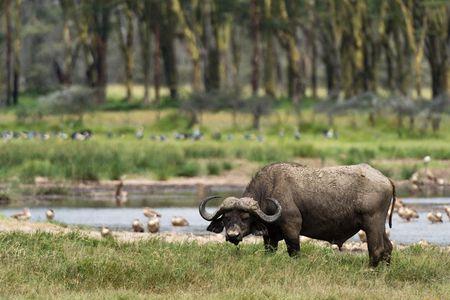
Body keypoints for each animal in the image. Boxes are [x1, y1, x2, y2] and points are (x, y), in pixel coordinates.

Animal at [199, 163, 396, 266]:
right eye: (226, 218)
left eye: (245, 217)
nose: (233, 235)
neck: (269, 190)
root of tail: (385, 179)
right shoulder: (269, 235)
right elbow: (269, 251)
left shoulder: (292, 229)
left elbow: (294, 252)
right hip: (379, 226)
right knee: (388, 247)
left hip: (372, 224)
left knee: (376, 249)